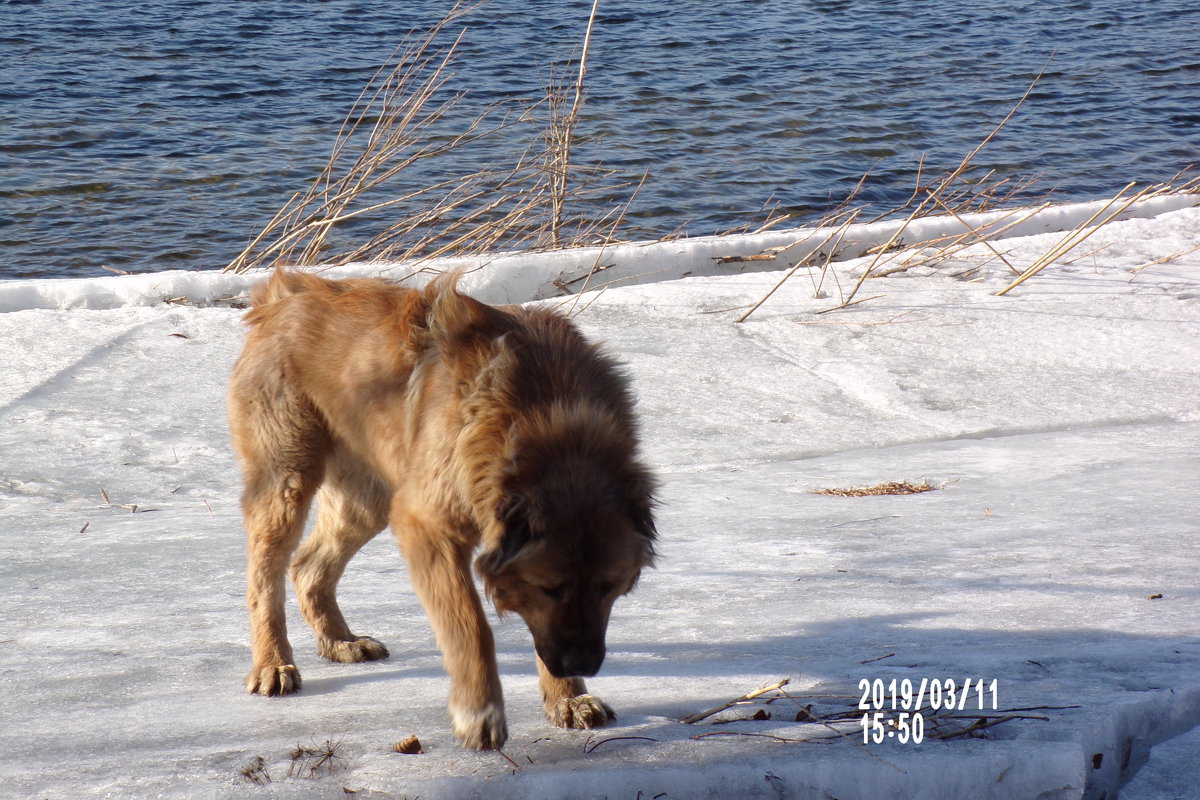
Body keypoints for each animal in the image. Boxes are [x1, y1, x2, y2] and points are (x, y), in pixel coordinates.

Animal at [225, 268, 657, 753]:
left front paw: (567, 698)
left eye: (608, 587)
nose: (579, 663)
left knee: (308, 565)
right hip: (287, 479)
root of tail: (283, 296)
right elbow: (470, 625)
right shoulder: (427, 525)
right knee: (266, 577)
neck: (542, 419)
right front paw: (480, 713)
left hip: (369, 497)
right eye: (550, 588)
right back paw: (272, 664)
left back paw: (340, 641)